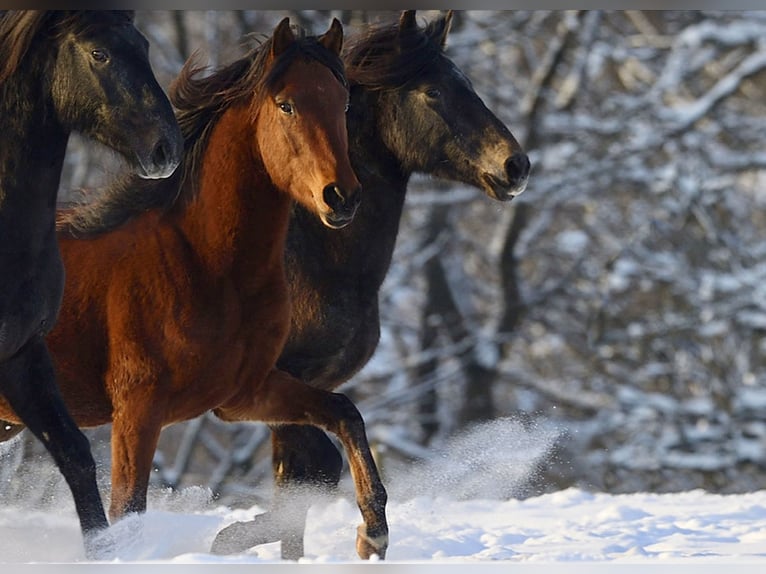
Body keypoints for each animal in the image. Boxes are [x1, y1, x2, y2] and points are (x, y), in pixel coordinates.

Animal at [212, 10, 536, 564]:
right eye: (433, 91)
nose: (516, 166)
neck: (316, 260)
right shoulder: (273, 380)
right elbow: (313, 468)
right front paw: (366, 534)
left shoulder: (312, 383)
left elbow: (304, 476)